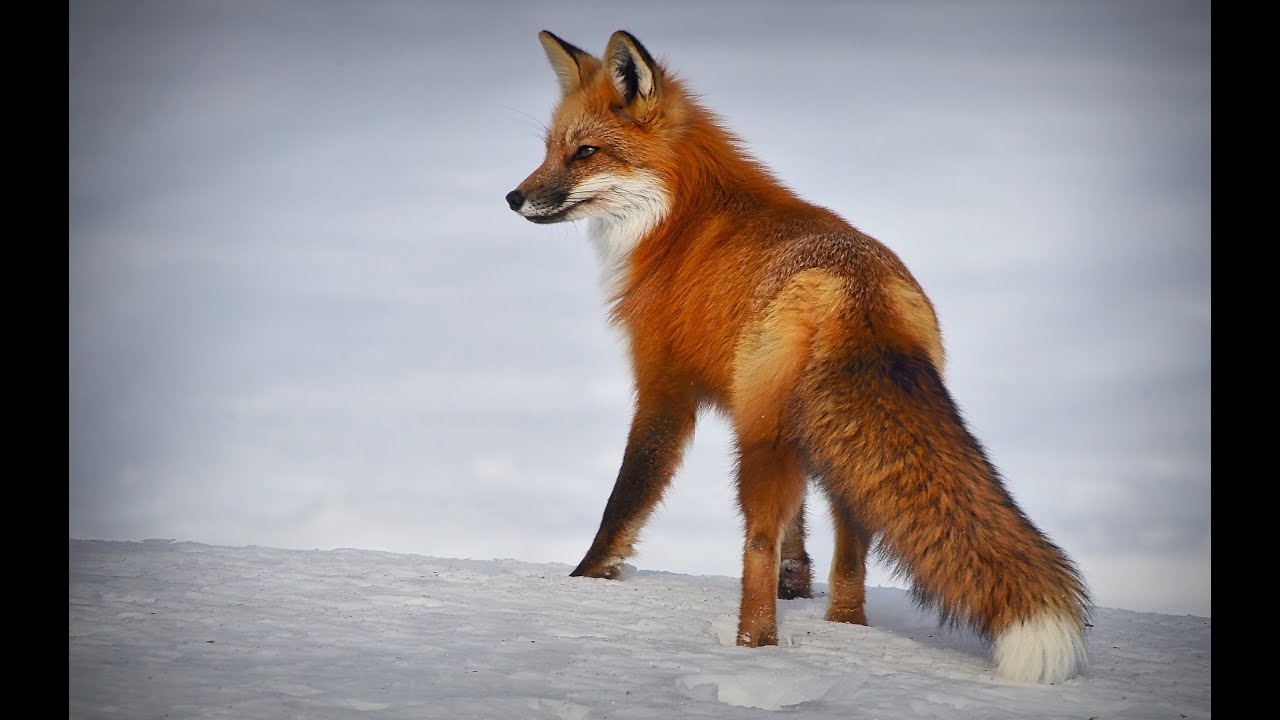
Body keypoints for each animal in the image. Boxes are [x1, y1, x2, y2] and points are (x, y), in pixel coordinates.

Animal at [505, 29, 1091, 684]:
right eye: (549, 149)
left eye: (585, 152)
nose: (513, 197)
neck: (678, 221)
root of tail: (856, 289)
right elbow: (799, 535)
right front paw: (798, 585)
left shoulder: (665, 386)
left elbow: (626, 499)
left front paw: (585, 579)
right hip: (827, 442)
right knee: (852, 552)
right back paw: (844, 629)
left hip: (760, 441)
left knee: (756, 544)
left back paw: (752, 646)